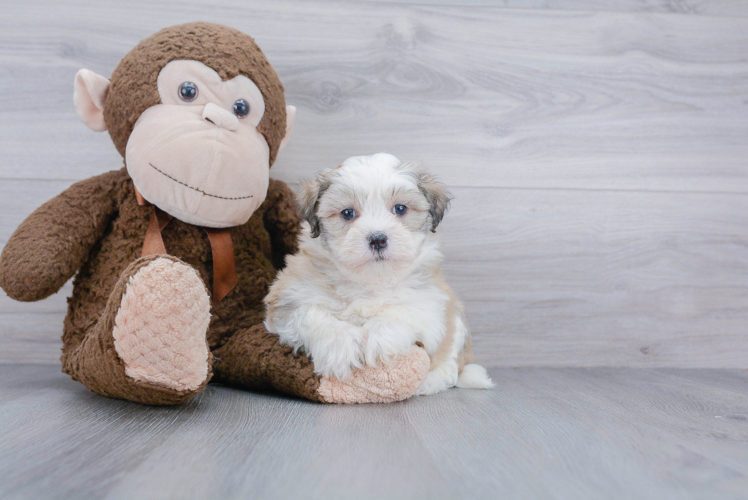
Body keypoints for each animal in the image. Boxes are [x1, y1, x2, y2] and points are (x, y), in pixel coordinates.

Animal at [266, 152, 494, 394]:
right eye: (348, 213)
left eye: (400, 209)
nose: (377, 239)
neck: (370, 281)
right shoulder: (288, 296)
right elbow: (310, 314)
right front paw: (339, 345)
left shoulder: (431, 302)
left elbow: (401, 311)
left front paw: (379, 338)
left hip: (457, 323)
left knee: (450, 367)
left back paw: (430, 381)